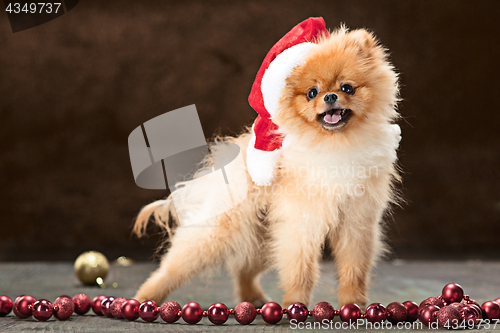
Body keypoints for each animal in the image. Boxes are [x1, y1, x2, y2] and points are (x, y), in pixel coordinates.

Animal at [131, 18, 400, 308]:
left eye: (347, 87)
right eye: (312, 92)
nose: (329, 97)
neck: (335, 144)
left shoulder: (356, 222)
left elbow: (353, 269)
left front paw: (354, 305)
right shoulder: (301, 222)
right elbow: (300, 270)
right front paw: (295, 305)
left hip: (263, 239)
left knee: (242, 269)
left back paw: (253, 297)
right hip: (219, 231)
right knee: (174, 266)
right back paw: (143, 298)